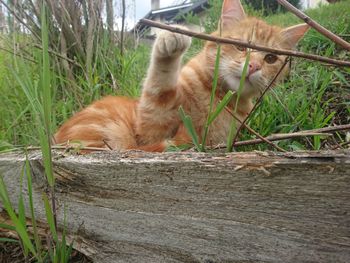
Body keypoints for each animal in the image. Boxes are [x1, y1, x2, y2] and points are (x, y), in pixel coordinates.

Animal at [53, 0, 308, 153]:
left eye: (271, 59)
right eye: (241, 47)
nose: (254, 66)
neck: (216, 96)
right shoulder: (150, 129)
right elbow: (161, 83)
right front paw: (170, 40)